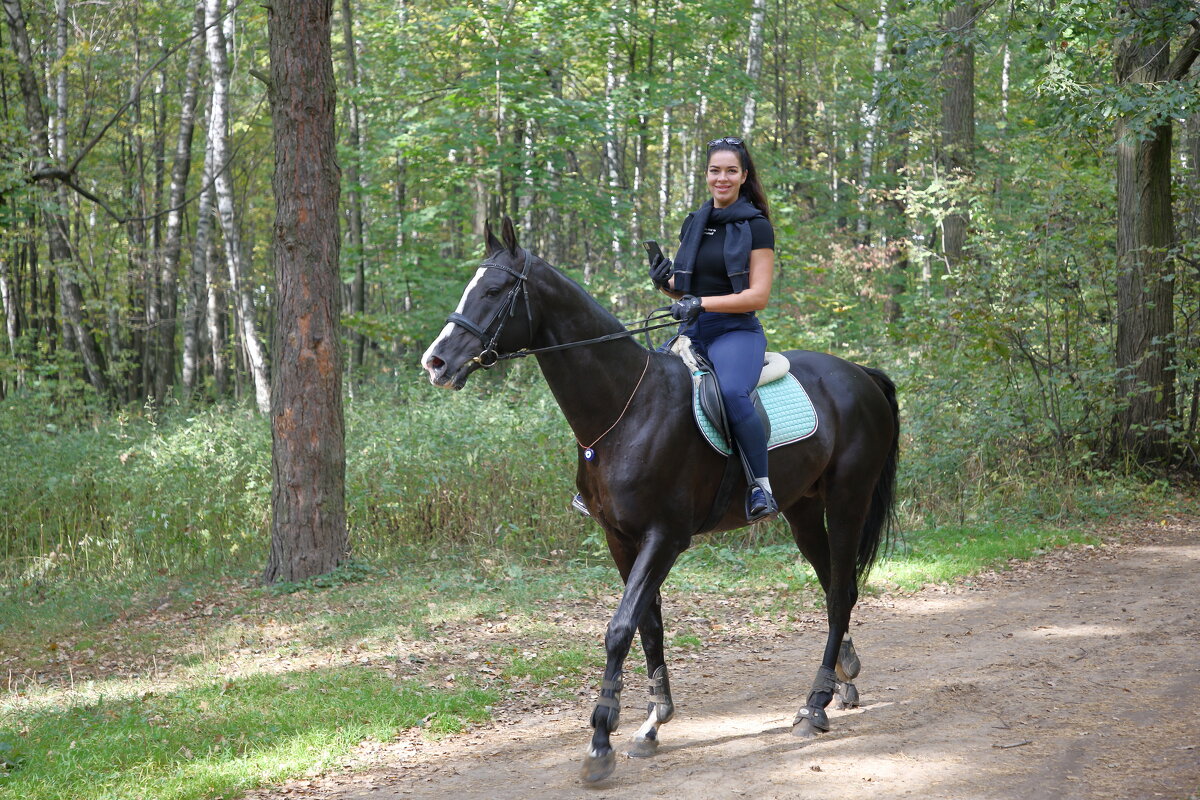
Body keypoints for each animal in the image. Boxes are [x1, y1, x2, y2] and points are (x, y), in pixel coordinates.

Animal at [422, 217, 902, 782]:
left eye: (495, 290)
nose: (436, 362)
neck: (626, 408)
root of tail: (860, 374)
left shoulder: (665, 538)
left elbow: (620, 627)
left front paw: (601, 740)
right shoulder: (621, 539)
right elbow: (648, 625)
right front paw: (652, 722)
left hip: (848, 500)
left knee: (839, 594)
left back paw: (814, 707)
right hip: (803, 510)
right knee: (834, 586)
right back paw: (843, 680)